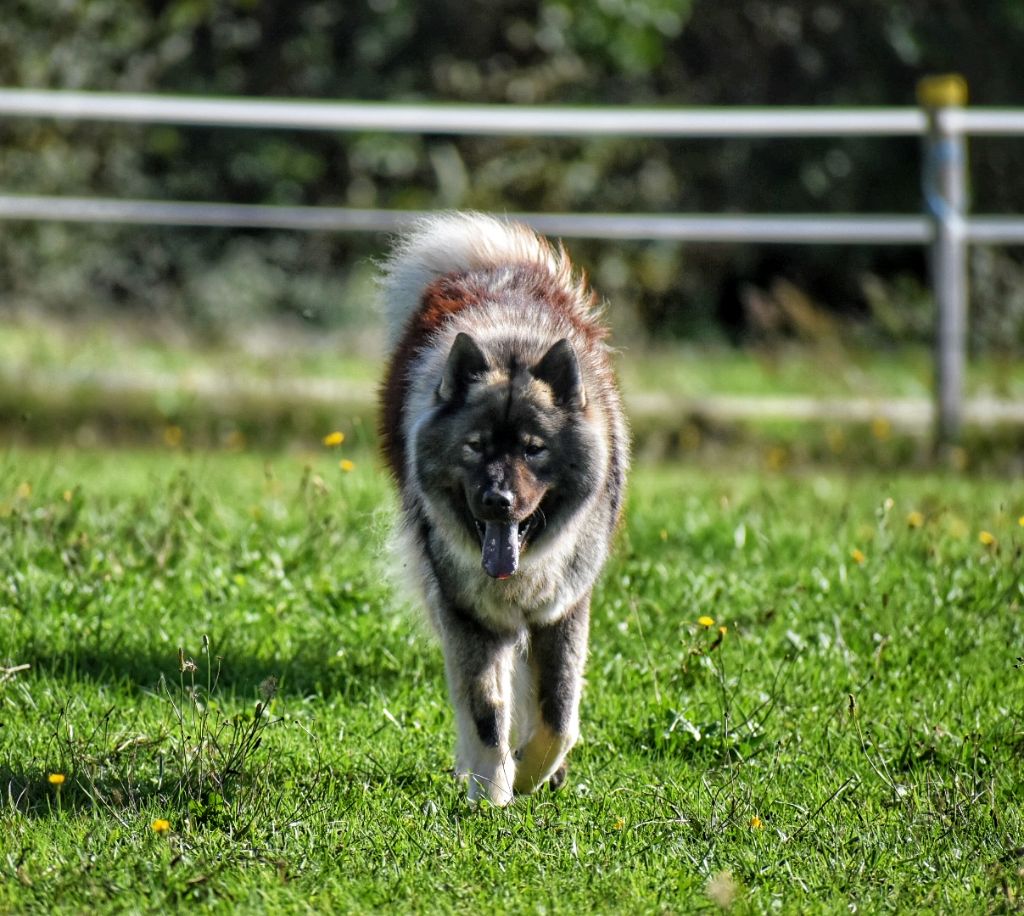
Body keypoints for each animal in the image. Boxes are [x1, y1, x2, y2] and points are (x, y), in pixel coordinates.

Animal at [380, 210, 626, 806]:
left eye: (533, 449)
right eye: (475, 447)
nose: (498, 500)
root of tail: (493, 265)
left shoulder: (562, 609)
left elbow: (558, 714)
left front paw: (535, 772)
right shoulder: (469, 613)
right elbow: (485, 711)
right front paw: (490, 794)